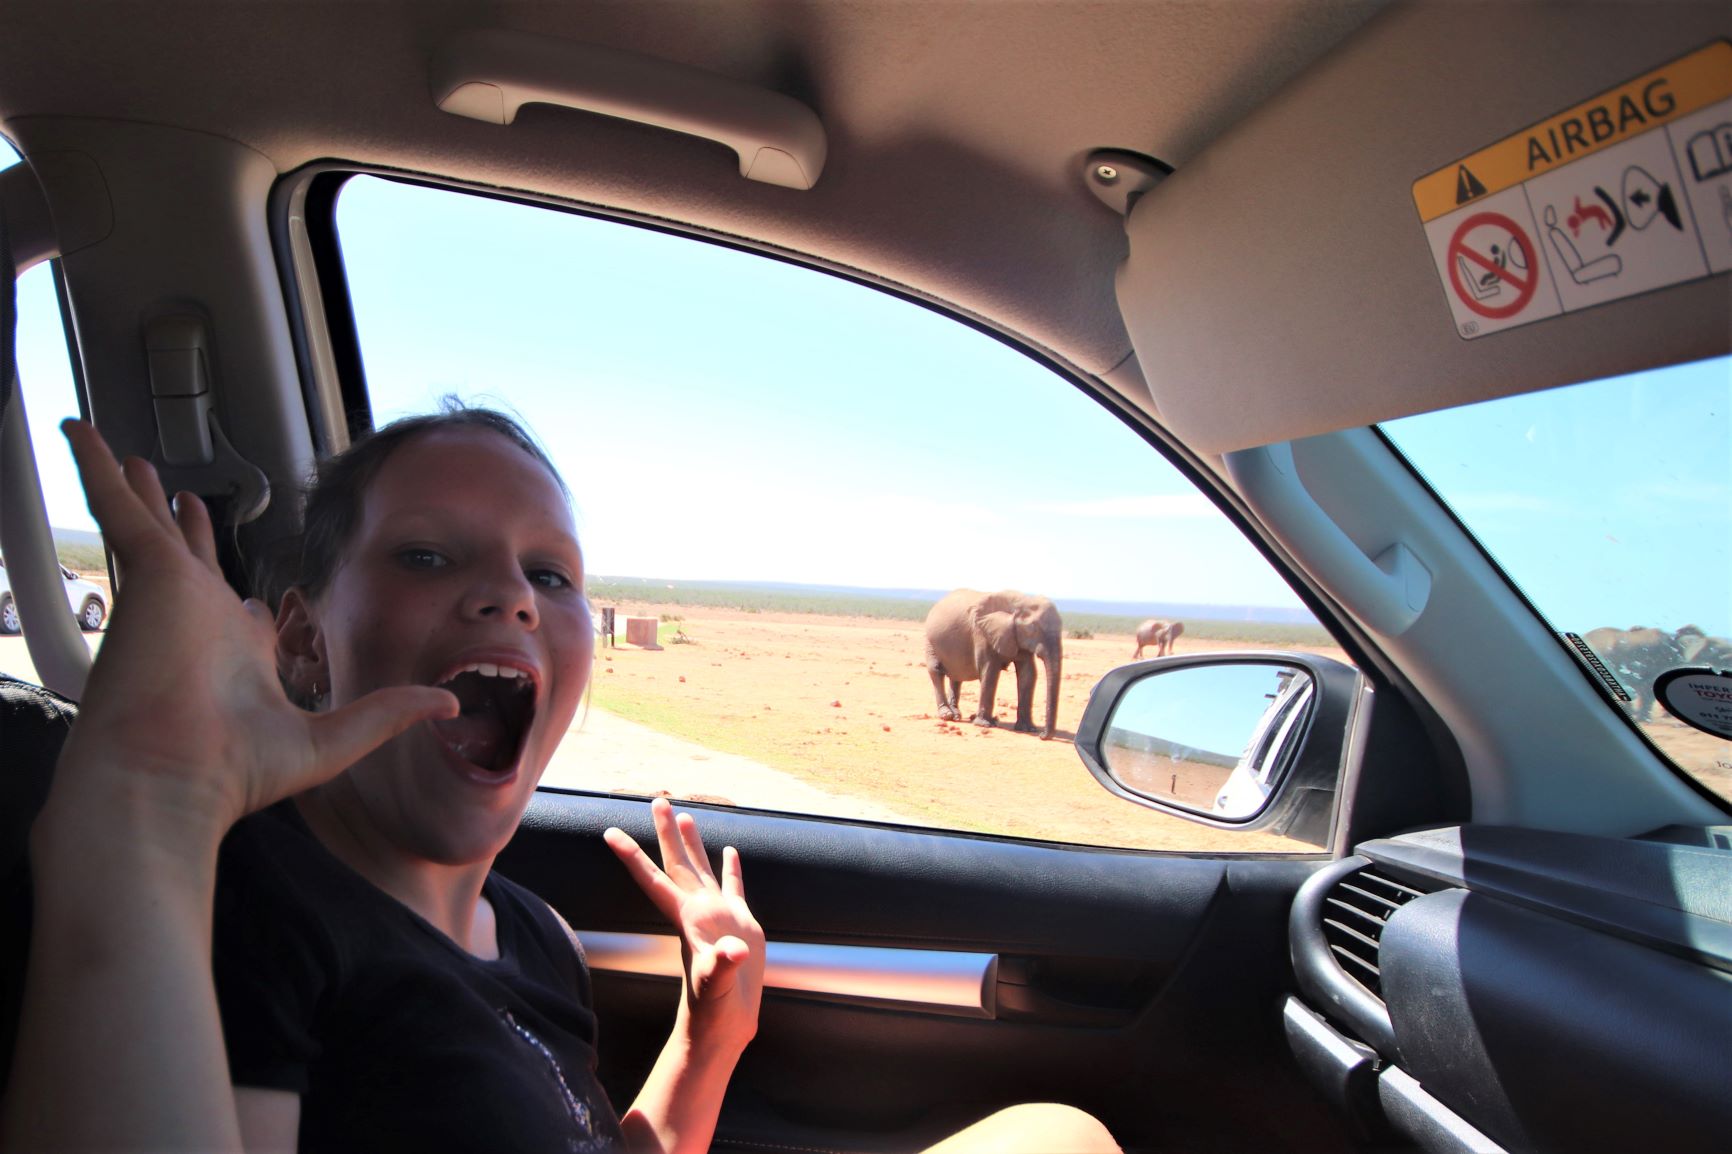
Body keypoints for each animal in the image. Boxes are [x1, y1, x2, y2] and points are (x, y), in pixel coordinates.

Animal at [928, 585, 1059, 738]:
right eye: (1031, 628)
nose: (1042, 735)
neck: (1022, 600)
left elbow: (1028, 674)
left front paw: (1027, 729)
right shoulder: (982, 633)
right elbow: (990, 670)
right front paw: (984, 724)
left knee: (956, 678)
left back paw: (958, 715)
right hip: (930, 641)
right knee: (936, 671)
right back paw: (947, 715)